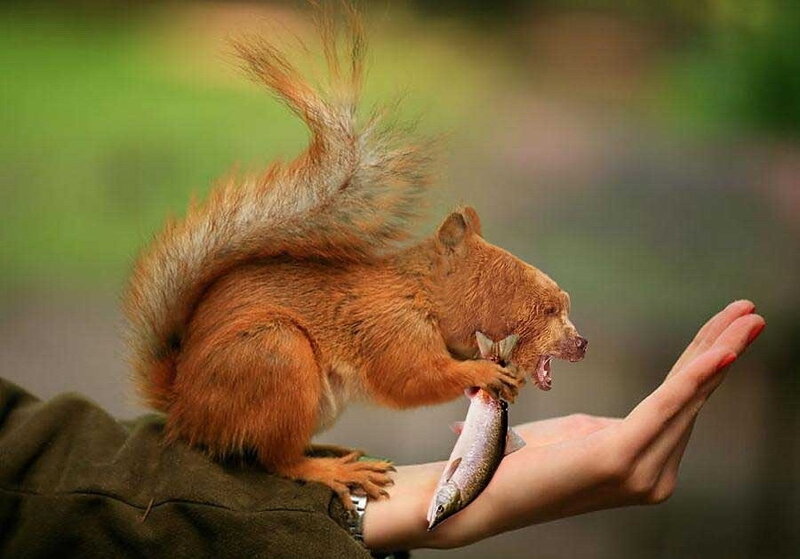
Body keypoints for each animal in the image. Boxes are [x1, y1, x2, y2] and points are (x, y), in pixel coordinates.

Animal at [122, 5, 587, 507]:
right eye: (545, 307)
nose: (582, 344)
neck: (420, 292)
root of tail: (184, 409)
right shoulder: (389, 326)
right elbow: (410, 380)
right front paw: (484, 370)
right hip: (273, 355)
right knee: (277, 459)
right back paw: (330, 470)